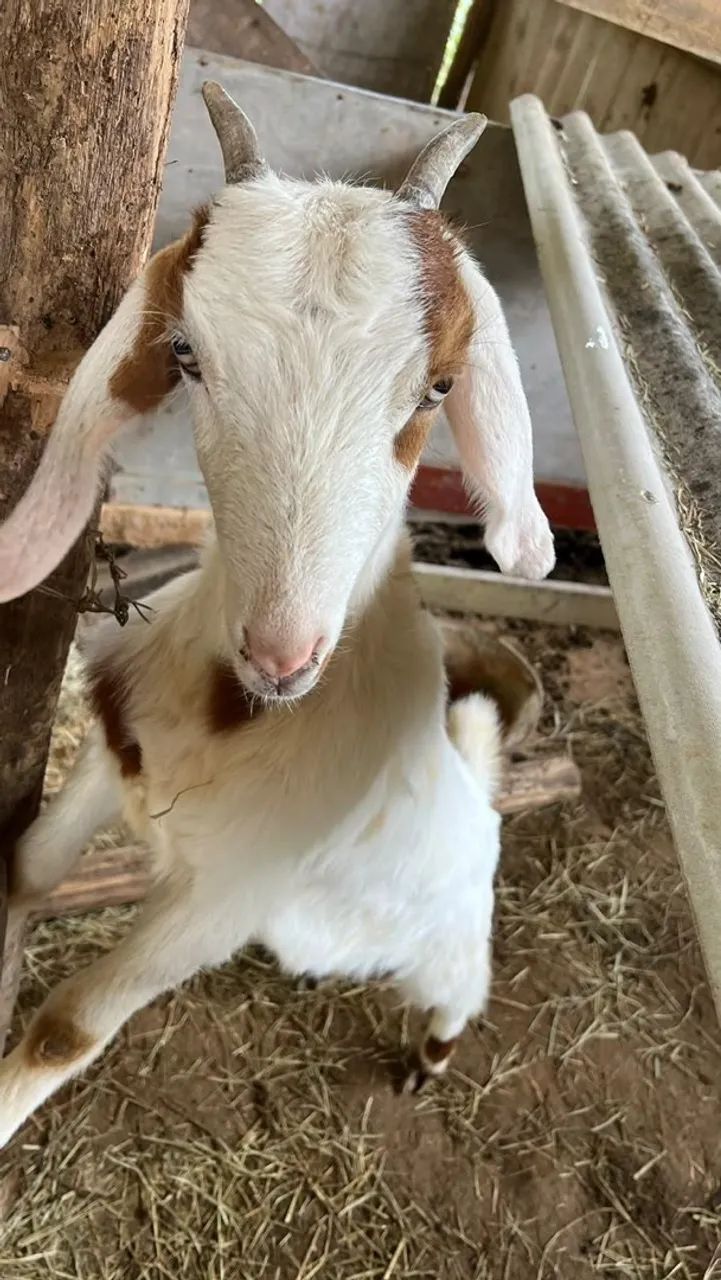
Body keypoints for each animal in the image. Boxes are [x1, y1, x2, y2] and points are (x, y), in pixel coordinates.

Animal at [0, 84, 554, 1146]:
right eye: (185, 354)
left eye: (439, 385)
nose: (283, 652)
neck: (241, 714)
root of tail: (474, 793)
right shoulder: (112, 758)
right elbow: (29, 869)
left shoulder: (229, 894)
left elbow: (69, 1027)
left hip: (454, 929)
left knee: (460, 985)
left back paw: (430, 1054)